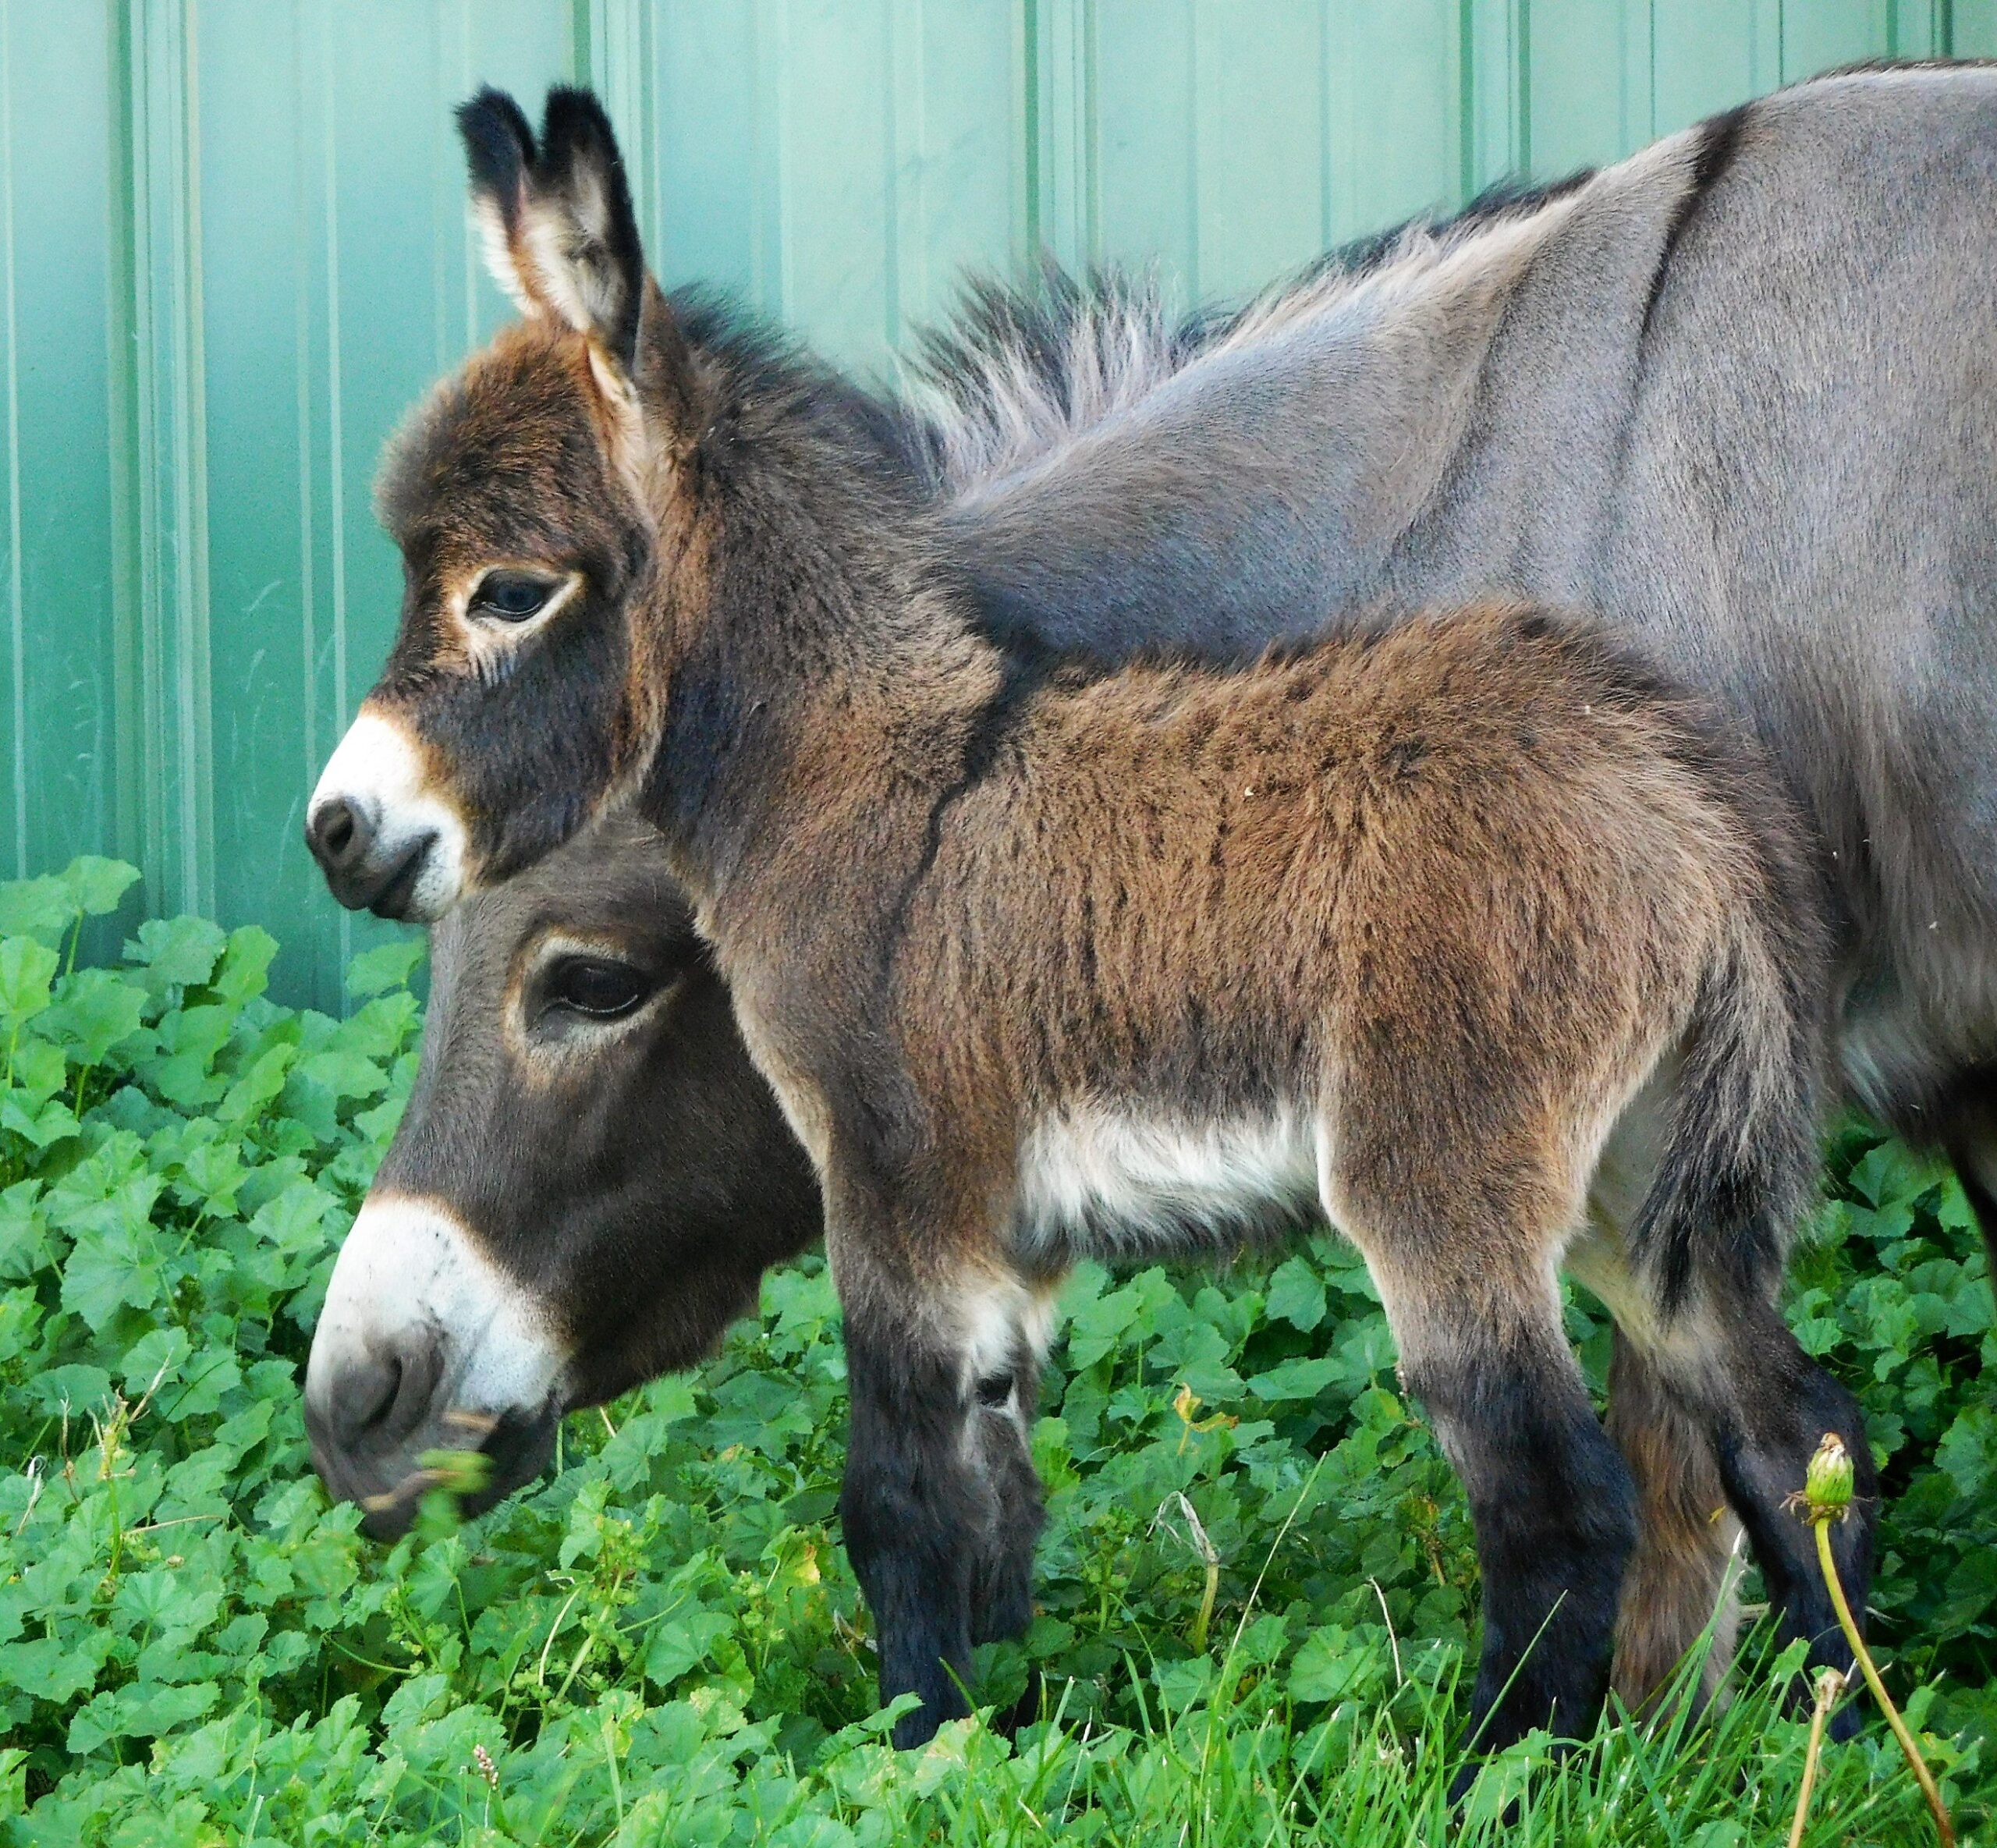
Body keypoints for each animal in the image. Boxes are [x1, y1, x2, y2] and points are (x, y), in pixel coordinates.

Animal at [307, 90, 1869, 1758]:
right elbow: (992, 1511)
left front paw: (907, 1748)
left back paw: (1489, 1770)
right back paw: (1846, 1736)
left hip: (1444, 1177)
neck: (869, 768)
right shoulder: (1003, 1242)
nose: (336, 832)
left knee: (1562, 1499)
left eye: (508, 591)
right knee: (1793, 1438)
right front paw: (982, 1735)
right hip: (1643, 1180)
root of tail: (1692, 810)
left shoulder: (899, 1186)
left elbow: (898, 1505)